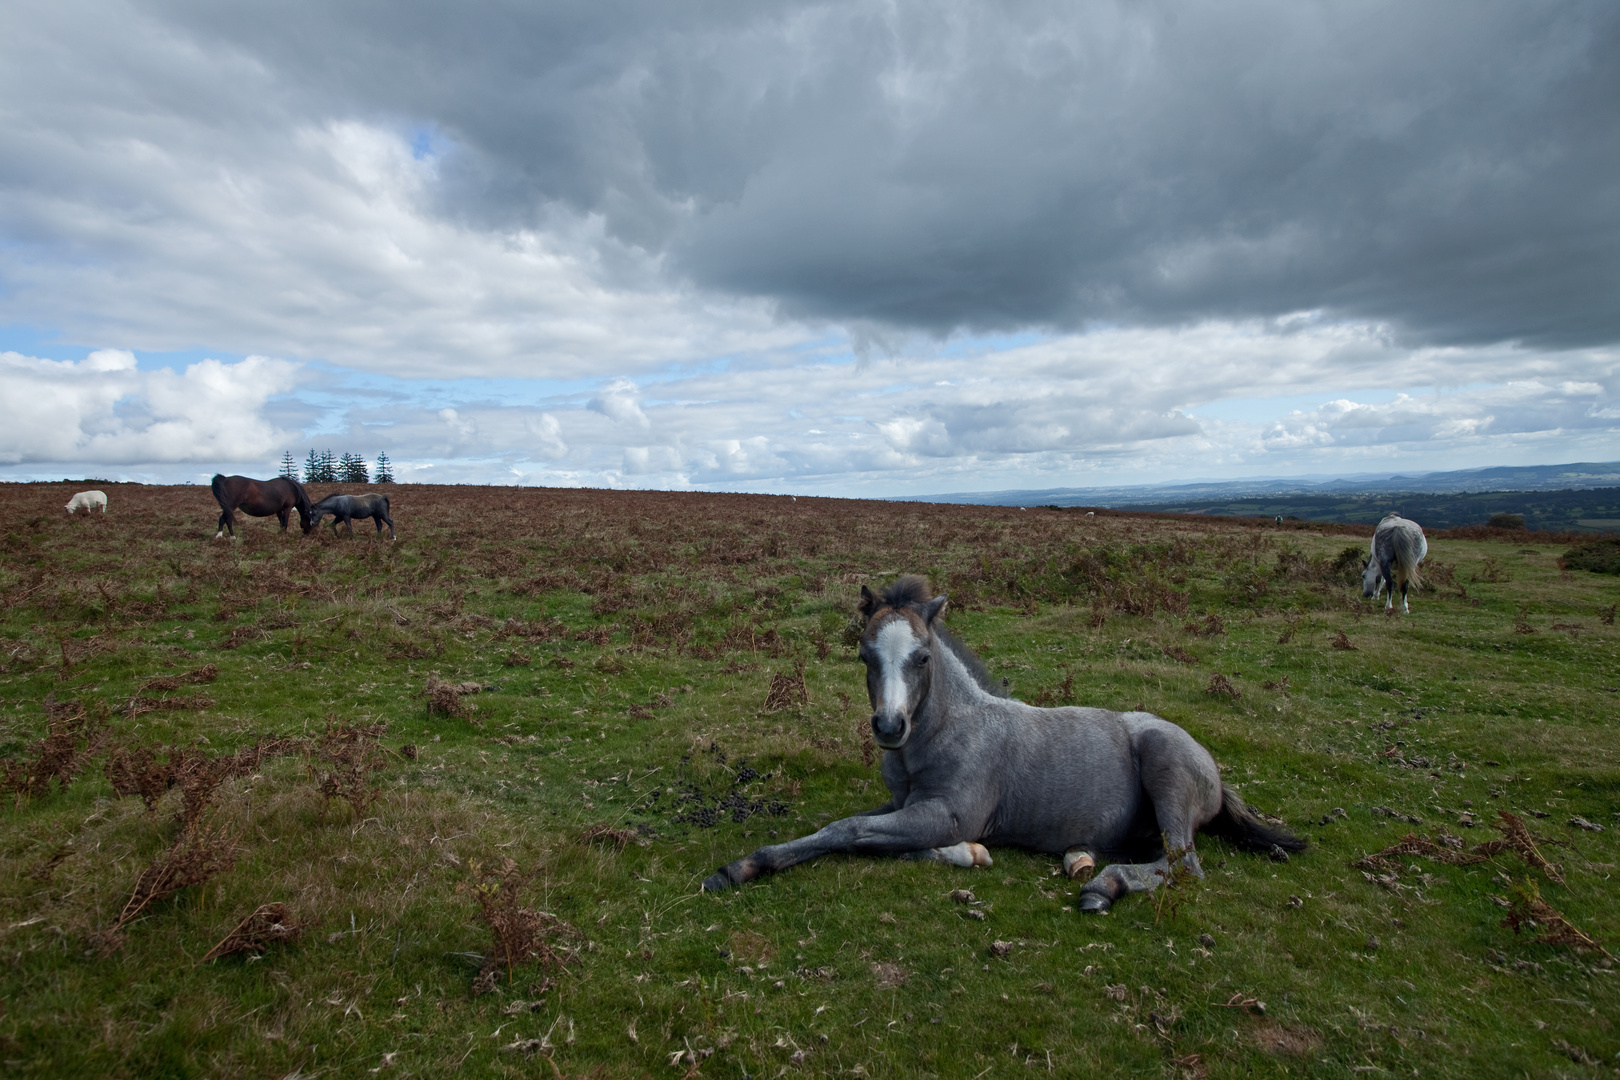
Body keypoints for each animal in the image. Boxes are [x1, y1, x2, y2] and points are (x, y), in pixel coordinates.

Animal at [703, 573, 1308, 913]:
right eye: (863, 656)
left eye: (922, 657)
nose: (890, 728)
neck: (943, 734)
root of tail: (1214, 771)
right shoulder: (903, 805)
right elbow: (844, 829)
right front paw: (740, 868)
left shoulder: (947, 813)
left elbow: (854, 834)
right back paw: (1085, 862)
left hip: (1166, 770)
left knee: (1185, 866)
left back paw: (1102, 888)